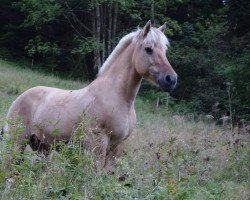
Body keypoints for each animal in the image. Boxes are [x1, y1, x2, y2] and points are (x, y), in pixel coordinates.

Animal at [4, 20, 177, 168]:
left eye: (165, 50)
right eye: (149, 49)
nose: (171, 79)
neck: (118, 98)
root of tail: (19, 98)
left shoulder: (117, 147)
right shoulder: (99, 144)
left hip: (42, 147)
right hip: (17, 143)